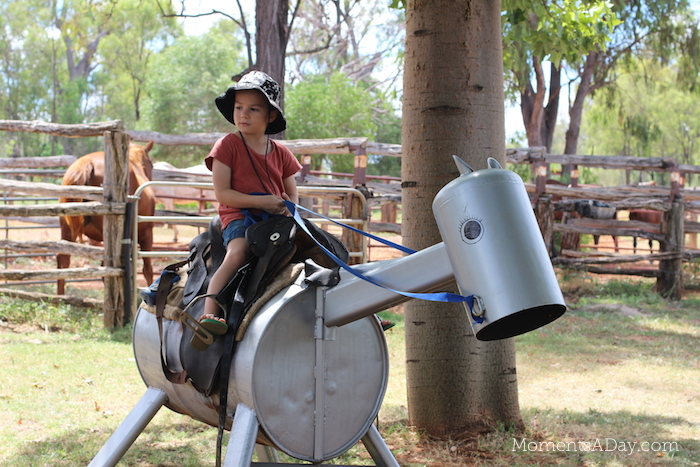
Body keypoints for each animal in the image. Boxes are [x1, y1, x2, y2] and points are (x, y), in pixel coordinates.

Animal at [57, 143, 156, 294]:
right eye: (151, 164)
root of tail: (86, 164)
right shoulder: (146, 235)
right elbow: (148, 270)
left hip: (67, 229)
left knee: (63, 260)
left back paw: (61, 296)